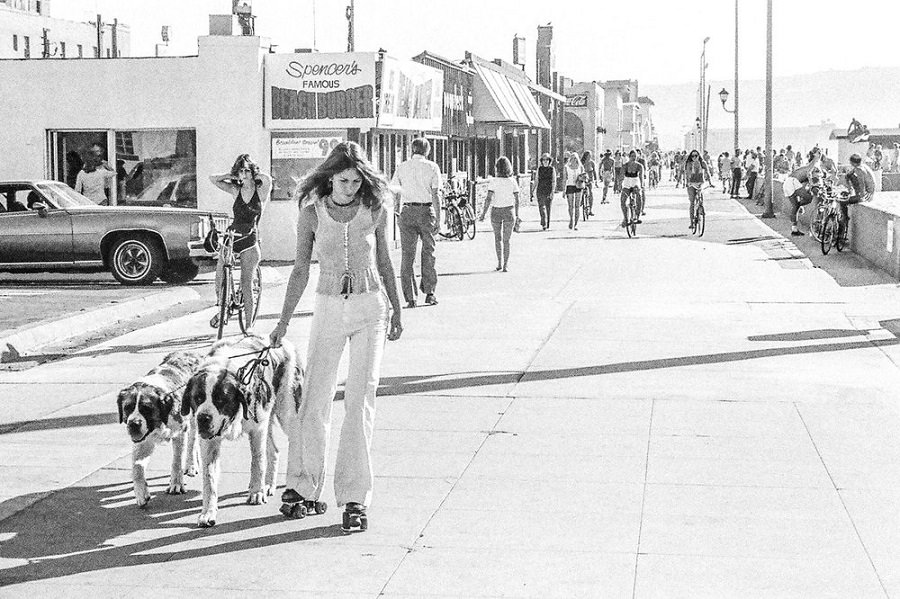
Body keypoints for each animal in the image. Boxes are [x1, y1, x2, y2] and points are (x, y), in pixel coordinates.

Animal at [117, 352, 203, 510]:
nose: (133, 424)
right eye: (128, 408)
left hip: (196, 415)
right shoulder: (144, 441)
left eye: (146, 409)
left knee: (192, 440)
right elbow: (137, 467)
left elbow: (177, 460)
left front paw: (176, 484)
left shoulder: (179, 432)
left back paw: (191, 464)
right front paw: (141, 493)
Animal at [181, 336, 304, 528]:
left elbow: (257, 461)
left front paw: (256, 492)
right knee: (274, 451)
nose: (203, 418)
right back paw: (269, 484)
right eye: (198, 397)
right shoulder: (209, 441)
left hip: (287, 412)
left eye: (220, 399)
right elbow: (209, 478)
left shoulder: (257, 429)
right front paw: (208, 512)